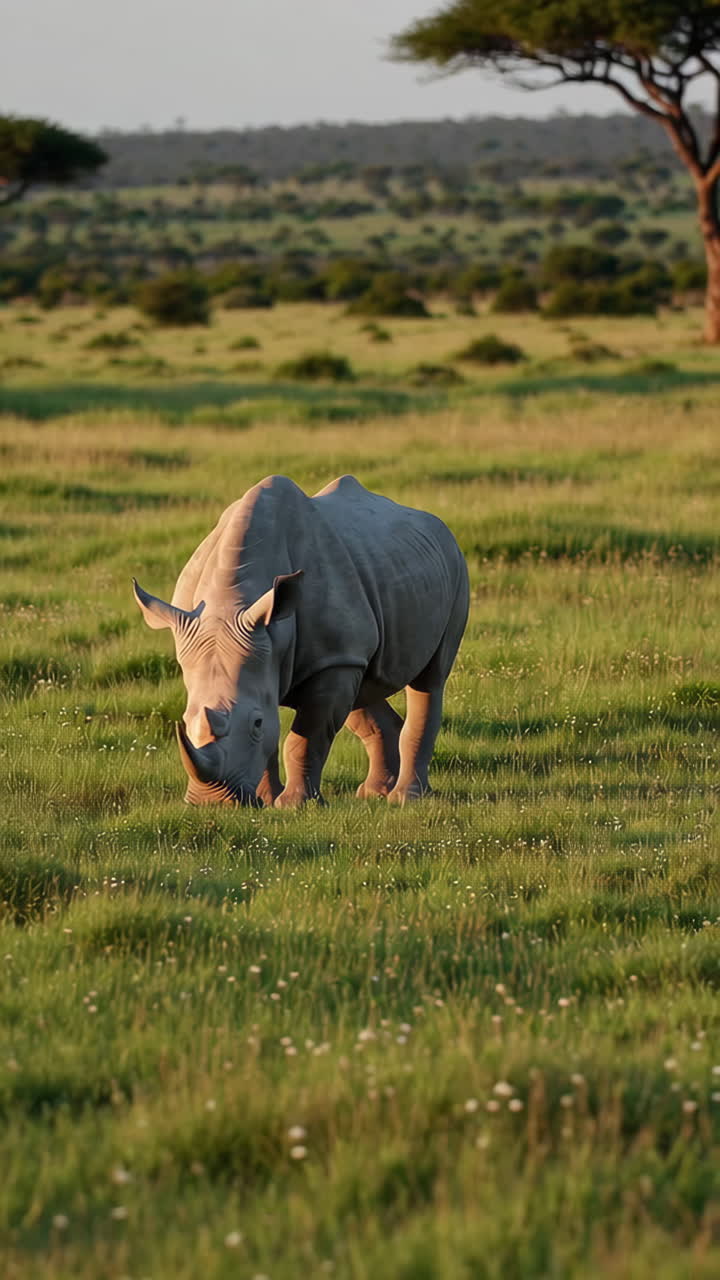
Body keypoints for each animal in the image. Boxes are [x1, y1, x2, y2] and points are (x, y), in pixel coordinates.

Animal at [133, 474, 468, 808]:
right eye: (185, 720)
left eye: (255, 723)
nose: (210, 802)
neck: (230, 604)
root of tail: (434, 523)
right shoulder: (279, 653)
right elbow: (275, 737)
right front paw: (266, 800)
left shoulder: (325, 659)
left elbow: (305, 737)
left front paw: (294, 805)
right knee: (364, 685)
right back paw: (375, 793)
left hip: (455, 567)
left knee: (430, 680)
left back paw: (405, 798)